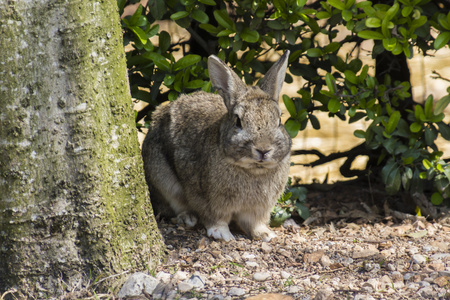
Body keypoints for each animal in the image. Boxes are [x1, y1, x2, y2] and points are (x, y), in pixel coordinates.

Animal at [142, 51, 294, 243]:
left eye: (279, 121)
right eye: (238, 121)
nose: (263, 149)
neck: (252, 169)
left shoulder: (257, 208)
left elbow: (253, 223)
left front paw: (264, 234)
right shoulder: (207, 199)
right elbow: (215, 218)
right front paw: (222, 234)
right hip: (161, 177)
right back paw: (188, 218)